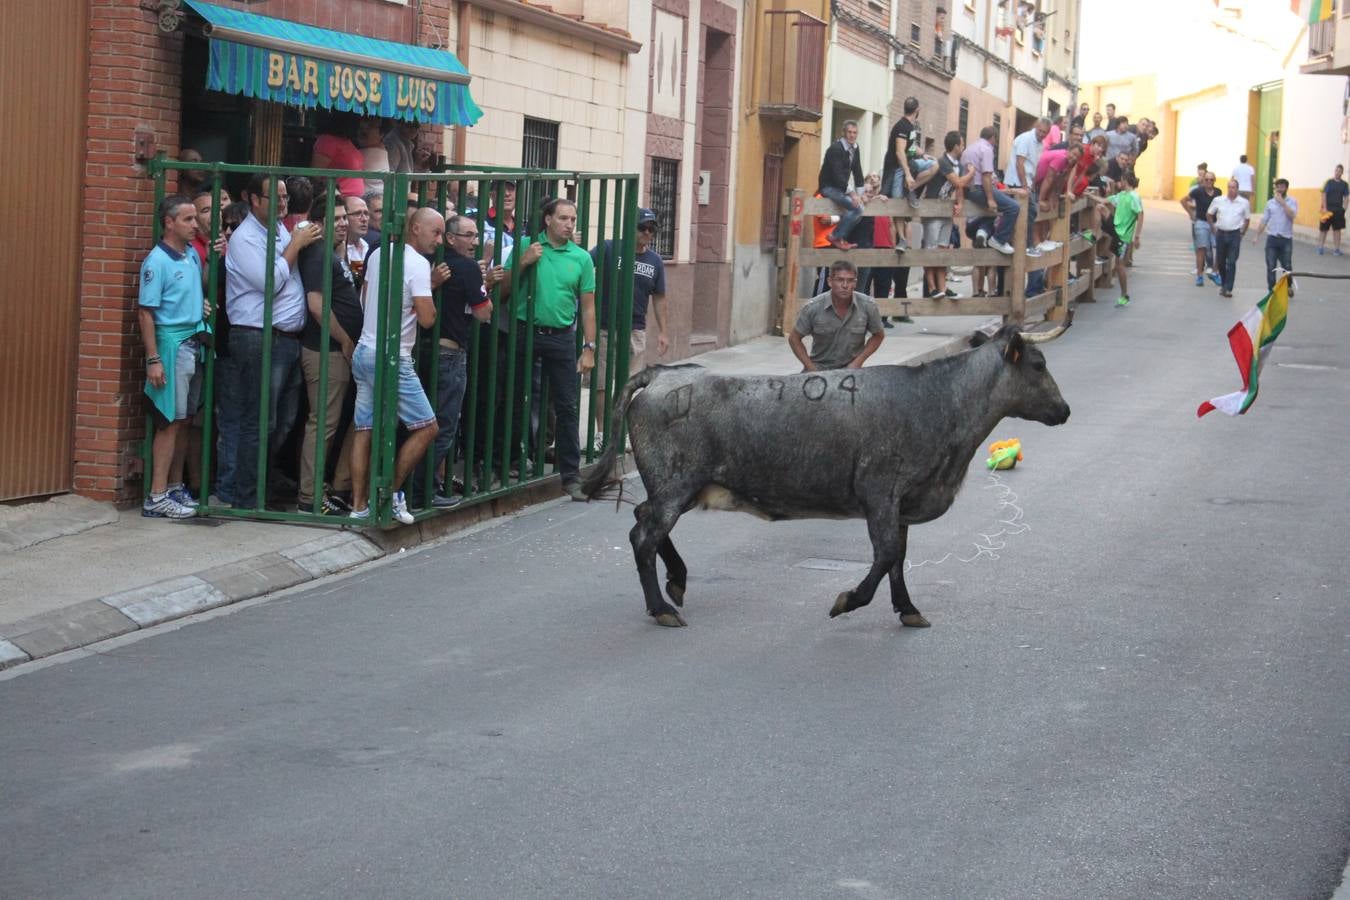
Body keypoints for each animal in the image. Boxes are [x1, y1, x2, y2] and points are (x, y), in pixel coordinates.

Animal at [577, 323, 1063, 626]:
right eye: (1038, 365)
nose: (1064, 410)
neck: (939, 399)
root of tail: (662, 376)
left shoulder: (901, 505)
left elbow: (899, 559)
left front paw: (907, 608)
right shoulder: (880, 494)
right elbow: (886, 556)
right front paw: (848, 601)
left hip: (674, 488)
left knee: (643, 521)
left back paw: (676, 581)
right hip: (675, 485)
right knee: (644, 536)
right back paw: (661, 607)